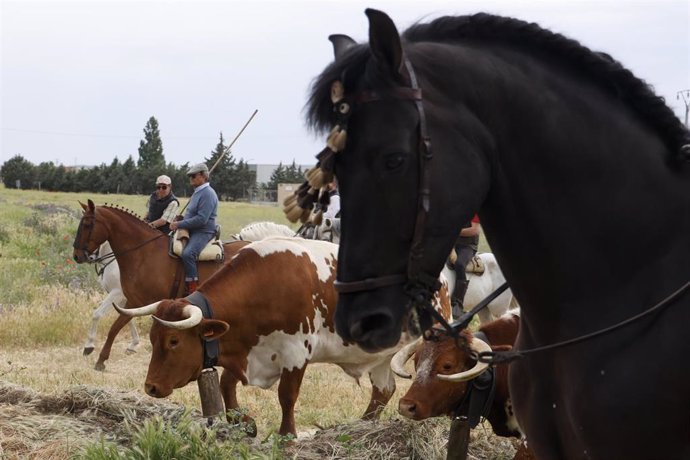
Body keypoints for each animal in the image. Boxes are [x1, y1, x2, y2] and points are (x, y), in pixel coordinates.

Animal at [118, 237, 452, 438]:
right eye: (153, 338)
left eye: (174, 342)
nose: (150, 387)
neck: (264, 284)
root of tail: (442, 279)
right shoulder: (247, 349)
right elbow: (226, 386)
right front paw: (245, 423)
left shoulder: (295, 353)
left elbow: (286, 396)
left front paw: (286, 434)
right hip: (382, 357)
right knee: (383, 391)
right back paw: (362, 426)